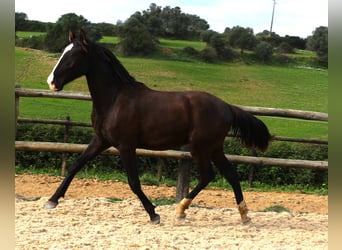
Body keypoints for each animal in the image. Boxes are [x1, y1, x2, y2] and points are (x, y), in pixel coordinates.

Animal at [45, 29, 272, 225]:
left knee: (208, 176)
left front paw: (154, 214)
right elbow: (75, 165)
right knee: (230, 175)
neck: (115, 99)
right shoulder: (101, 140)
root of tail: (227, 106)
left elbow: (134, 182)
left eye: (73, 56)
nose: (51, 82)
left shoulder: (126, 145)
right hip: (214, 148)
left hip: (200, 148)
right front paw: (52, 200)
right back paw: (244, 215)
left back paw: (181, 210)